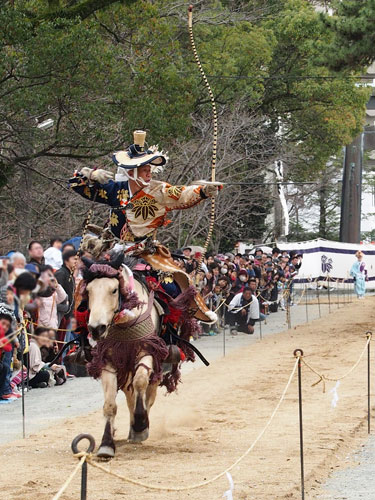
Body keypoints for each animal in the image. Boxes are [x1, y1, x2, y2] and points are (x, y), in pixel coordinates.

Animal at [82, 256, 172, 458]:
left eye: (114, 290)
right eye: (88, 290)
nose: (96, 328)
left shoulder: (147, 352)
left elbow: (140, 383)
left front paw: (140, 424)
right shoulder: (108, 362)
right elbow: (109, 404)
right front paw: (106, 444)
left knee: (147, 395)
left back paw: (139, 426)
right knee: (130, 395)